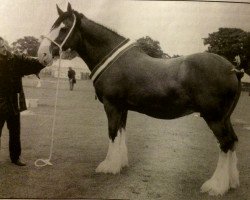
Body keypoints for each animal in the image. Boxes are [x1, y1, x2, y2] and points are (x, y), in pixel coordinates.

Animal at [38, 3, 245, 196]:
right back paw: (231, 182)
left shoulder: (112, 105)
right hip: (224, 118)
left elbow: (112, 133)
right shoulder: (123, 108)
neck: (113, 60)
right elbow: (121, 132)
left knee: (225, 143)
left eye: (64, 28)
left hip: (214, 117)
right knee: (233, 141)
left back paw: (216, 186)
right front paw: (120, 163)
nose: (42, 54)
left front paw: (108, 166)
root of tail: (232, 69)